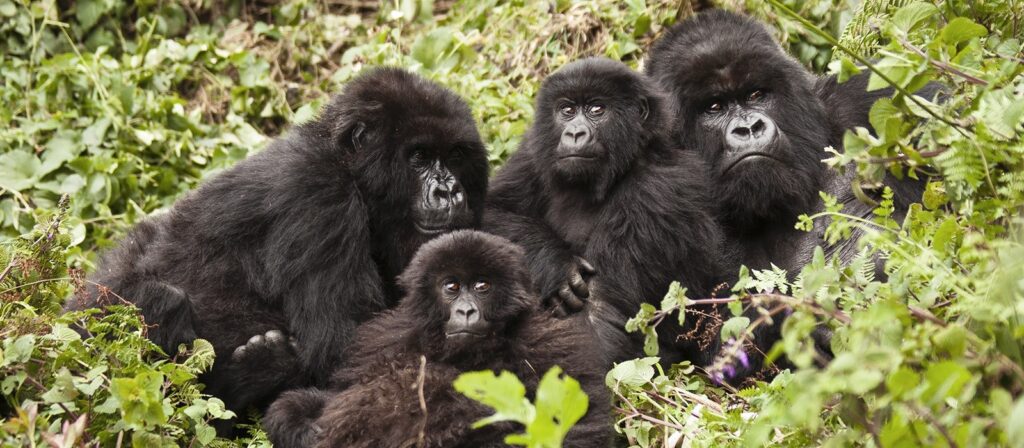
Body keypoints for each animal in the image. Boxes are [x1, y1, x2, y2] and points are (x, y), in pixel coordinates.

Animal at [66, 68, 489, 425]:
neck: (345, 165)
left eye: (455, 156)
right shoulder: (318, 196)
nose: (449, 190)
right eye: (419, 157)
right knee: (161, 299)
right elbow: (341, 346)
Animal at [264, 231, 610, 448]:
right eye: (451, 287)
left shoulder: (549, 345)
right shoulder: (383, 340)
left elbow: (579, 424)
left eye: (482, 286)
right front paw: (301, 422)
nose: (466, 311)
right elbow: (334, 396)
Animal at [481, 57, 729, 366]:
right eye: (567, 110)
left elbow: (600, 316)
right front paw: (555, 264)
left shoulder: (658, 189)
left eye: (597, 110)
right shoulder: (534, 151)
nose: (574, 133)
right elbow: (493, 211)